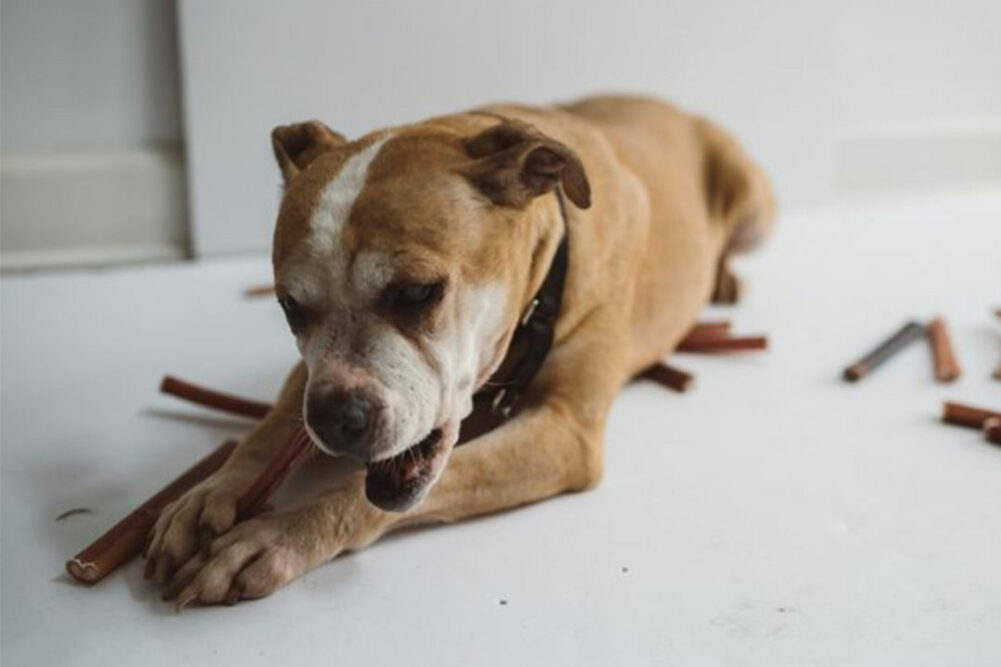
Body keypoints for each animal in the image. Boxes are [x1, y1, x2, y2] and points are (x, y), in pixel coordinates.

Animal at [143, 93, 772, 600]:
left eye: (417, 292)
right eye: (290, 307)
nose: (333, 419)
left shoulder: (564, 430)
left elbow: (353, 493)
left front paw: (281, 534)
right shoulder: (307, 375)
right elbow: (269, 428)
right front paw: (209, 491)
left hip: (758, 206)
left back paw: (725, 279)